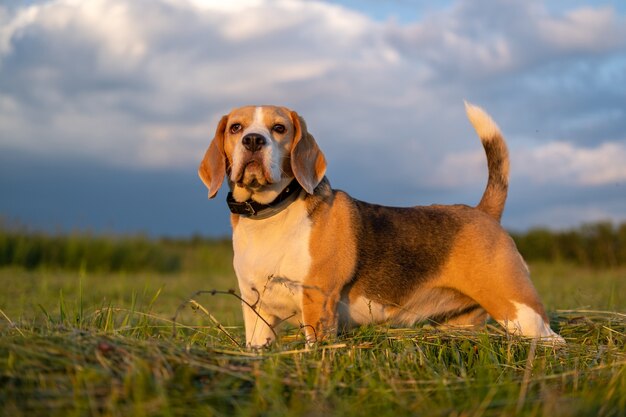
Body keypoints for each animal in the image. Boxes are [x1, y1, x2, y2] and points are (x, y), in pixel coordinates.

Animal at [197, 102, 564, 346]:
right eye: (236, 128)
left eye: (279, 128)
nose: (253, 141)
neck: (271, 214)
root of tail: (482, 211)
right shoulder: (257, 311)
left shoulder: (318, 302)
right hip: (460, 324)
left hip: (521, 312)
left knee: (551, 340)